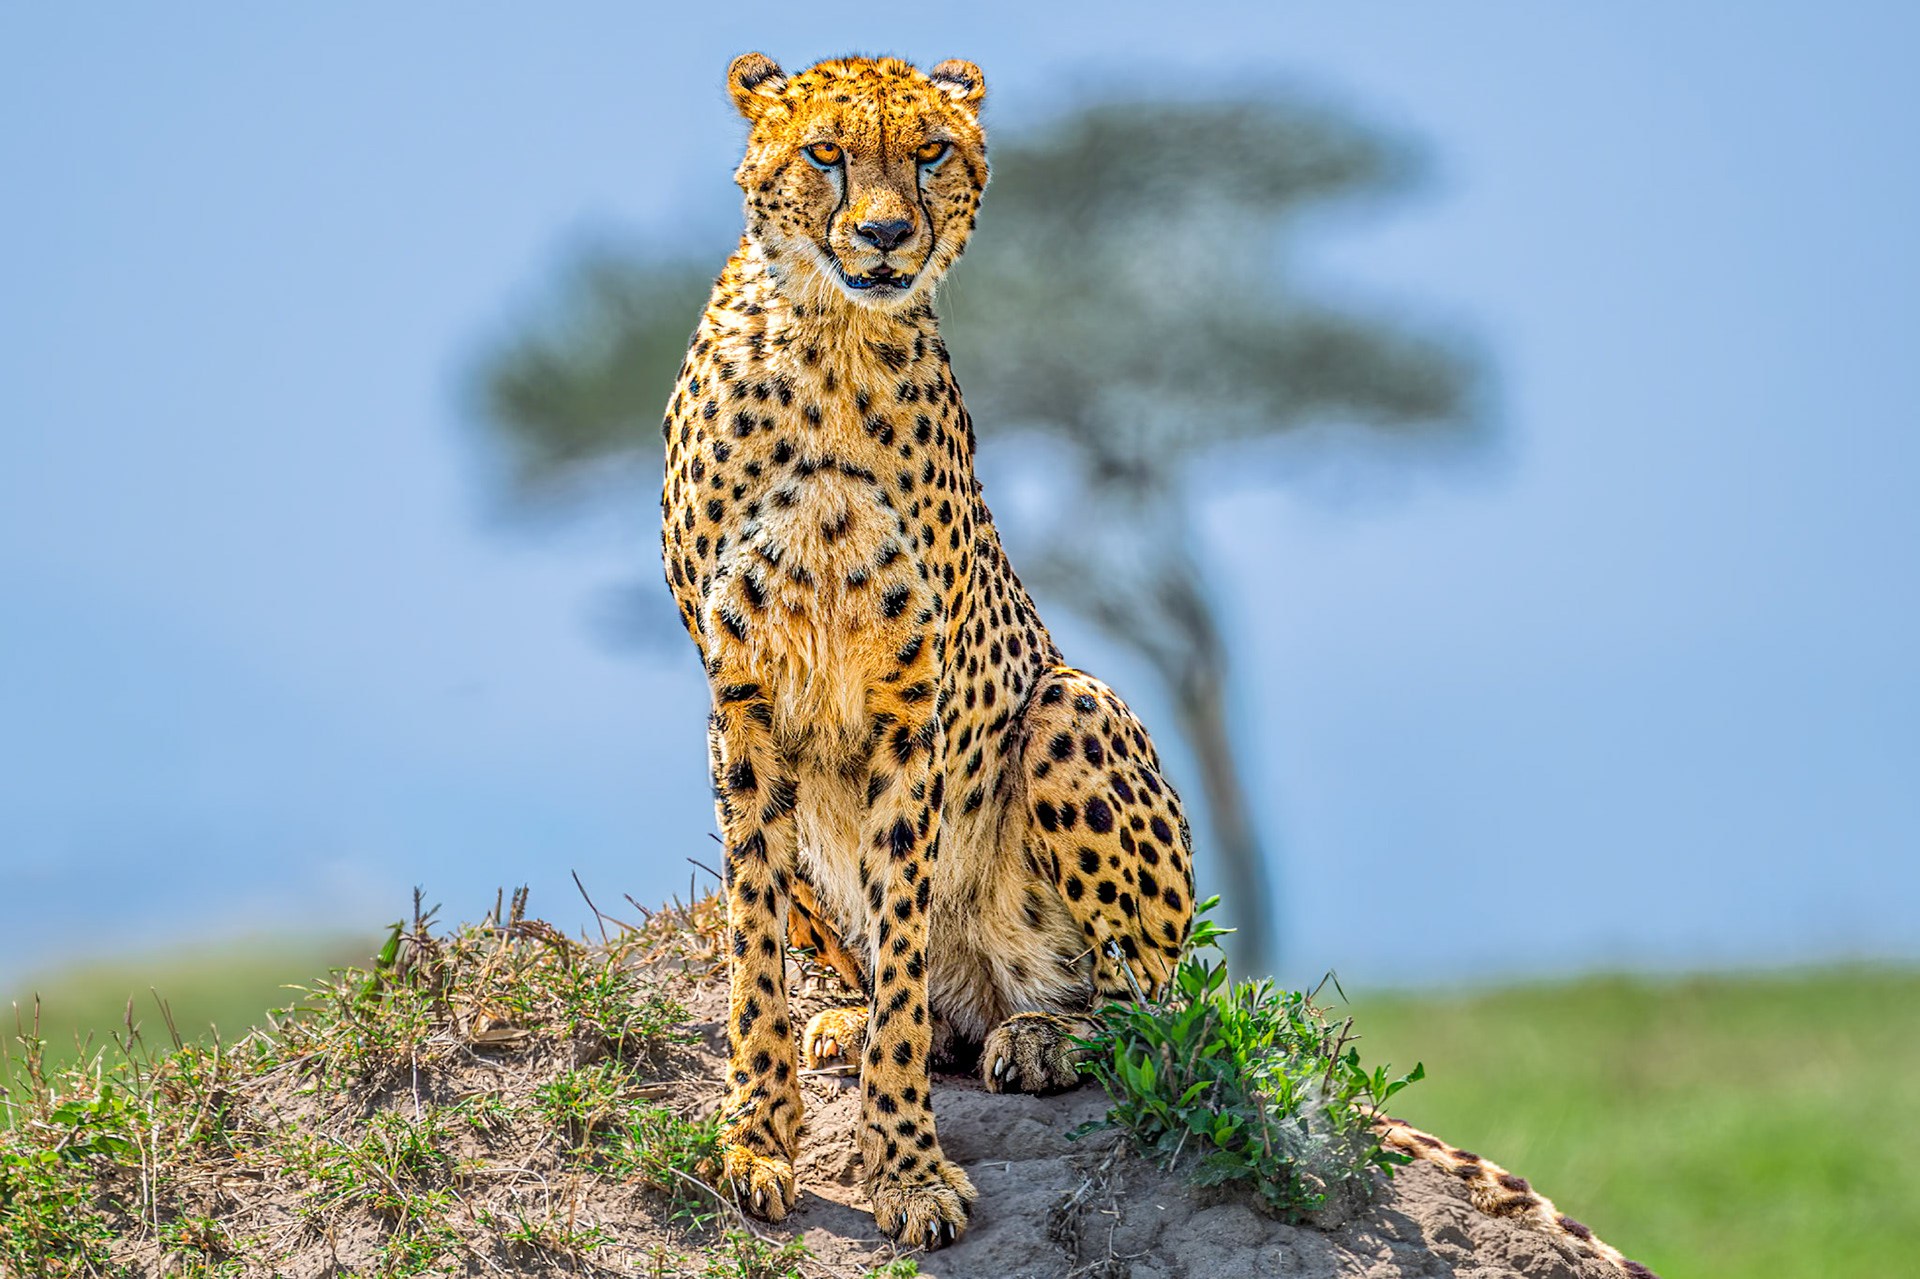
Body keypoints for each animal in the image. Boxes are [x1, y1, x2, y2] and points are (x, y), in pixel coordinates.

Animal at [658, 52, 1656, 1276]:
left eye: (931, 150)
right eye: (825, 152)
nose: (888, 234)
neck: (833, 336)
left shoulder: (911, 703)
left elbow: (899, 943)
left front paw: (905, 1168)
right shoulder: (741, 702)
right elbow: (757, 946)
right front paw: (756, 1140)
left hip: (1070, 710)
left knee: (1150, 1012)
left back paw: (1043, 1036)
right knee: (922, 996)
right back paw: (858, 1021)